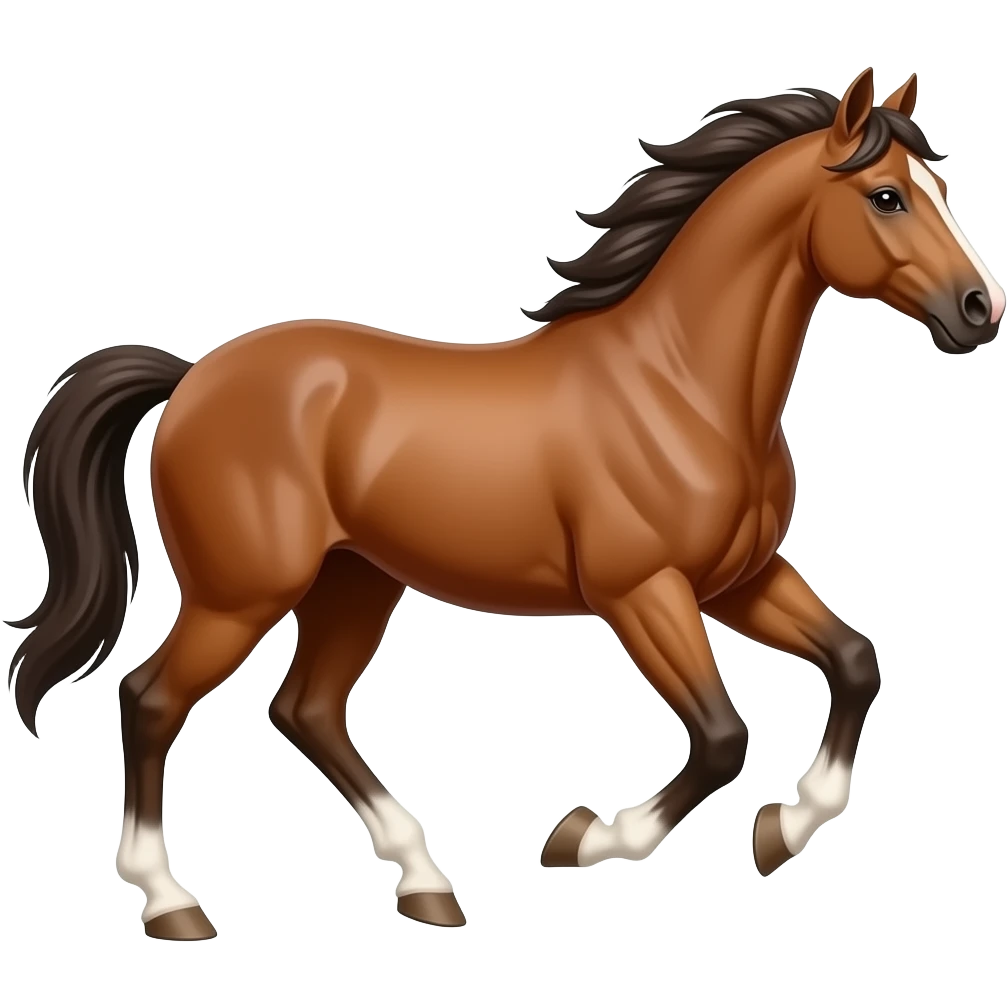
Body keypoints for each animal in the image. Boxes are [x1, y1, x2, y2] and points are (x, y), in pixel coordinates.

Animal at [6, 67, 1003, 941]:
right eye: (886, 196)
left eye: (941, 182)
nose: (978, 310)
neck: (680, 384)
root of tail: (190, 378)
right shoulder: (641, 591)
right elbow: (723, 735)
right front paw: (588, 837)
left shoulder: (739, 580)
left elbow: (855, 662)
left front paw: (782, 830)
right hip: (241, 593)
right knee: (152, 699)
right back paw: (172, 904)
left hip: (356, 581)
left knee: (307, 710)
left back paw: (426, 885)